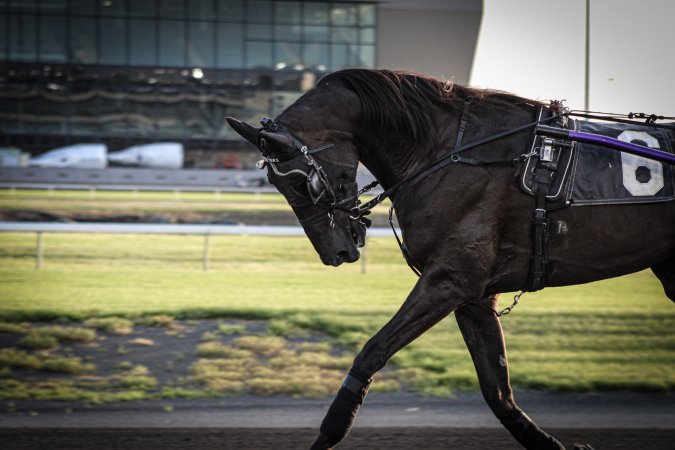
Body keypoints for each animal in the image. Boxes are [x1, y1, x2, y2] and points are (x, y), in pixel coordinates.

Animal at [228, 68, 675, 448]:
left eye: (299, 183)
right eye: (275, 184)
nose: (334, 252)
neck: (447, 149)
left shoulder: (448, 281)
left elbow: (372, 352)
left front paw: (328, 433)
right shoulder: (474, 297)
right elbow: (498, 392)